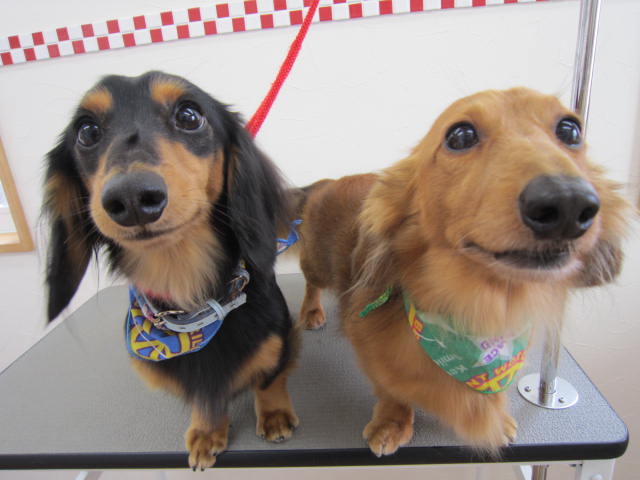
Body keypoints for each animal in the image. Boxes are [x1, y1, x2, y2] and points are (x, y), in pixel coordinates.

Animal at [43, 71, 299, 469]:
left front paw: (273, 414)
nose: (132, 197)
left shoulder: (279, 337)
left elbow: (269, 376)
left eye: (189, 116)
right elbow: (205, 398)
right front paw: (208, 431)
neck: (191, 303)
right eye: (87, 131)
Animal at [295, 88, 629, 456]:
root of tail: (330, 182)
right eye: (460, 136)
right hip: (316, 263)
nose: (568, 201)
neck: (480, 308)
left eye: (571, 130)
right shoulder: (371, 346)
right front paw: (391, 423)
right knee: (311, 284)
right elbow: (391, 389)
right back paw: (311, 311)